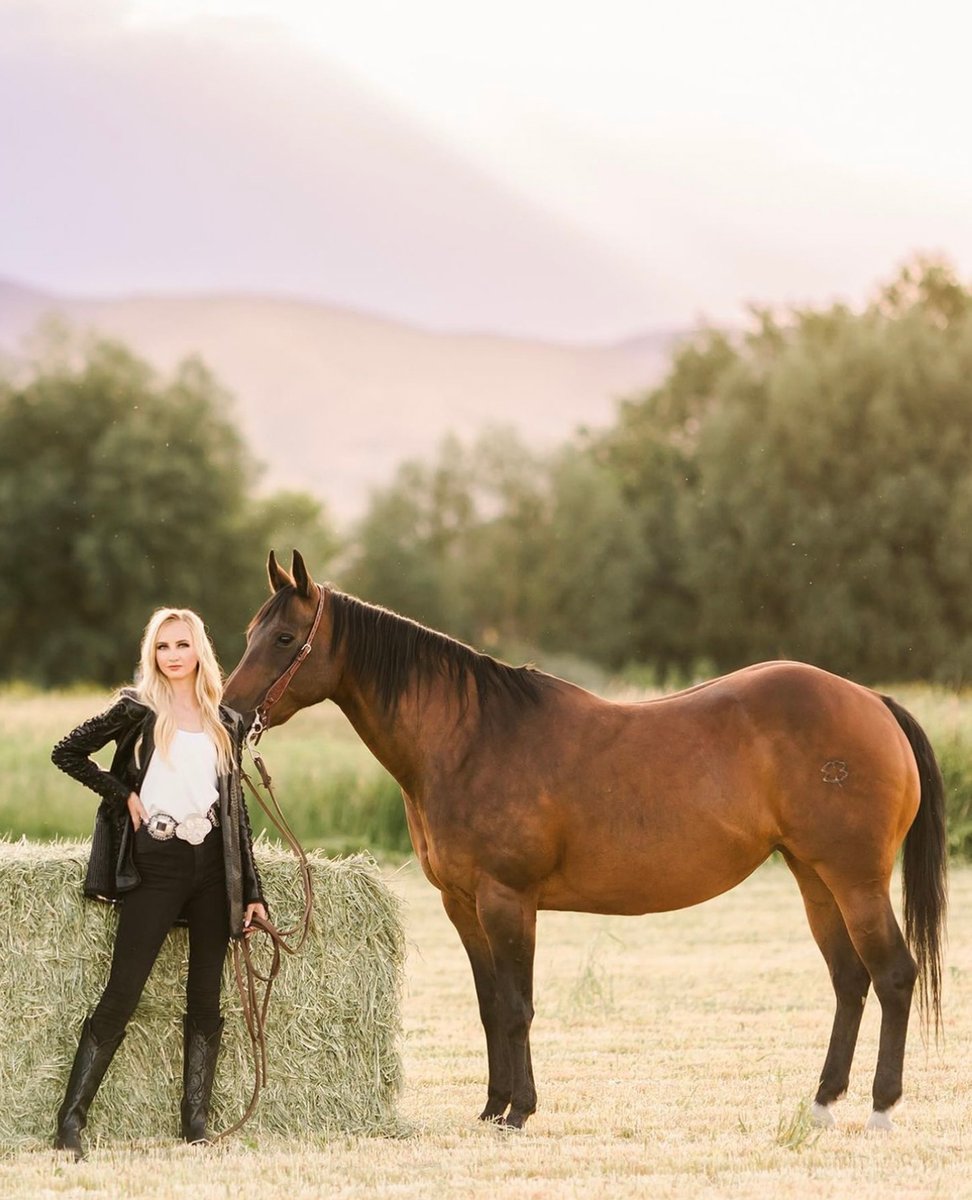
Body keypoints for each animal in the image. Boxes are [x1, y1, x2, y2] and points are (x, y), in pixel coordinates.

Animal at [223, 549, 940, 1128]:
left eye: (284, 637)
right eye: (250, 632)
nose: (229, 715)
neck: (469, 739)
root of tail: (873, 703)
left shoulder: (507, 900)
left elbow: (517, 1006)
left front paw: (519, 1111)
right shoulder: (462, 905)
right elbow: (490, 1006)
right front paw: (491, 1107)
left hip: (856, 880)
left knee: (893, 975)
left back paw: (881, 1107)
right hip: (814, 878)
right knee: (849, 979)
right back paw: (822, 1102)